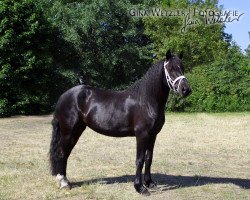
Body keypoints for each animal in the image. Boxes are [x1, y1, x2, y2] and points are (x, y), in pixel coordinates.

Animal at [49, 49, 192, 195]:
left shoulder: (153, 135)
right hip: (68, 132)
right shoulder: (142, 135)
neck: (146, 101)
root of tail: (63, 96)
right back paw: (64, 182)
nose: (186, 90)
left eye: (182, 68)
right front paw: (140, 187)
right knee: (61, 153)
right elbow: (139, 160)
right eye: (170, 69)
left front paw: (149, 183)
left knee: (65, 153)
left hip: (76, 130)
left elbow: (149, 158)